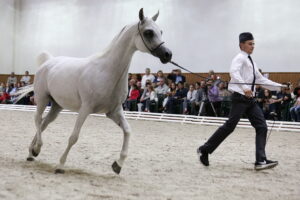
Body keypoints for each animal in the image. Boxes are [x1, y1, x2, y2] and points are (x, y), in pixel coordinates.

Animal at [18, 8, 172, 173]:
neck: (106, 70)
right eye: (148, 32)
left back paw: (31, 152)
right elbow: (74, 137)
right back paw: (36, 149)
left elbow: (127, 130)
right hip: (42, 99)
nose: (168, 54)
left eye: (161, 31)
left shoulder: (114, 111)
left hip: (56, 106)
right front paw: (60, 165)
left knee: (44, 123)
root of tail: (47, 62)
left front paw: (118, 164)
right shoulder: (85, 109)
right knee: (37, 119)